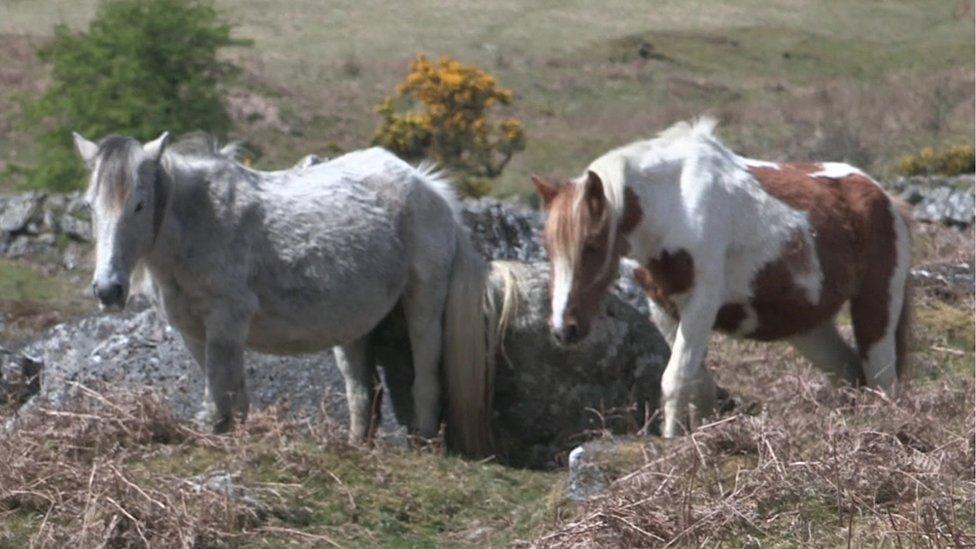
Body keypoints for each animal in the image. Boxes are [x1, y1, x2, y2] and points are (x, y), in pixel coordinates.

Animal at [74, 131, 496, 456]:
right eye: (90, 206)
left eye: (139, 204)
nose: (108, 289)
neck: (198, 223)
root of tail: (427, 184)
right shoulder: (194, 333)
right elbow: (229, 397)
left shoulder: (226, 326)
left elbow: (223, 402)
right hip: (355, 328)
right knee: (362, 392)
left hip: (424, 304)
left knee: (425, 379)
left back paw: (423, 445)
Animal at [528, 116, 912, 436]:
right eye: (547, 245)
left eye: (591, 245)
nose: (564, 329)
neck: (676, 204)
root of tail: (884, 197)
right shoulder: (664, 307)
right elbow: (697, 384)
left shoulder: (701, 305)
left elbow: (675, 379)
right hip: (809, 329)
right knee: (850, 373)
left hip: (876, 310)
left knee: (882, 381)